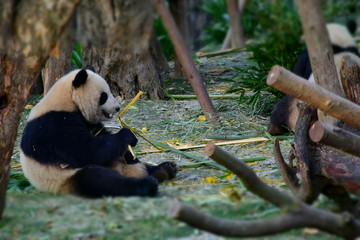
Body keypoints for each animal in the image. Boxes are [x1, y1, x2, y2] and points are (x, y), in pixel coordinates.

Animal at [20, 68, 177, 198]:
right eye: (104, 96)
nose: (117, 108)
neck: (66, 101)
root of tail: (124, 171)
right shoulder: (54, 126)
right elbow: (86, 150)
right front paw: (127, 135)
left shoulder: (87, 121)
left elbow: (104, 138)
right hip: (64, 178)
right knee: (99, 179)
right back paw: (147, 185)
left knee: (133, 163)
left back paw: (164, 169)